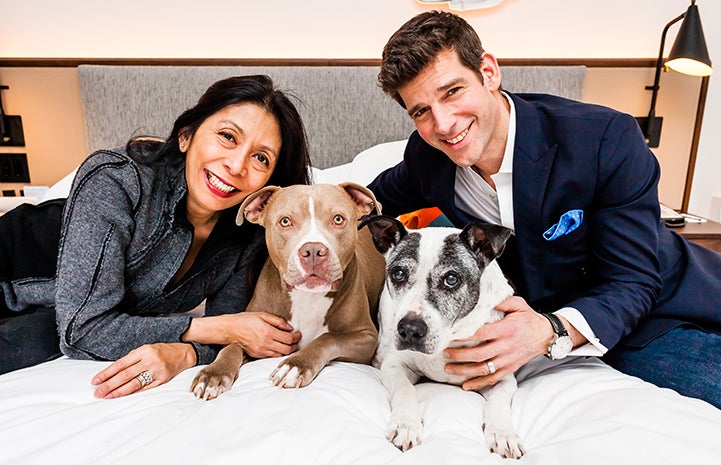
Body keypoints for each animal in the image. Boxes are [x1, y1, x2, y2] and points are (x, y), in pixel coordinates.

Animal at [188, 183, 386, 396]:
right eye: (285, 221)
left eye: (338, 219)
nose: (314, 250)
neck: (307, 296)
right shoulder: (253, 332)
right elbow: (232, 346)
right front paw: (213, 373)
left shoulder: (366, 337)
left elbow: (328, 338)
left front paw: (295, 365)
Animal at [360, 216, 524, 458]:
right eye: (398, 274)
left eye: (451, 278)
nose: (410, 329)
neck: (449, 338)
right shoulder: (394, 364)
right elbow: (404, 389)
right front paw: (405, 424)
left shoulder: (502, 377)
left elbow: (499, 402)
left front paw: (503, 433)